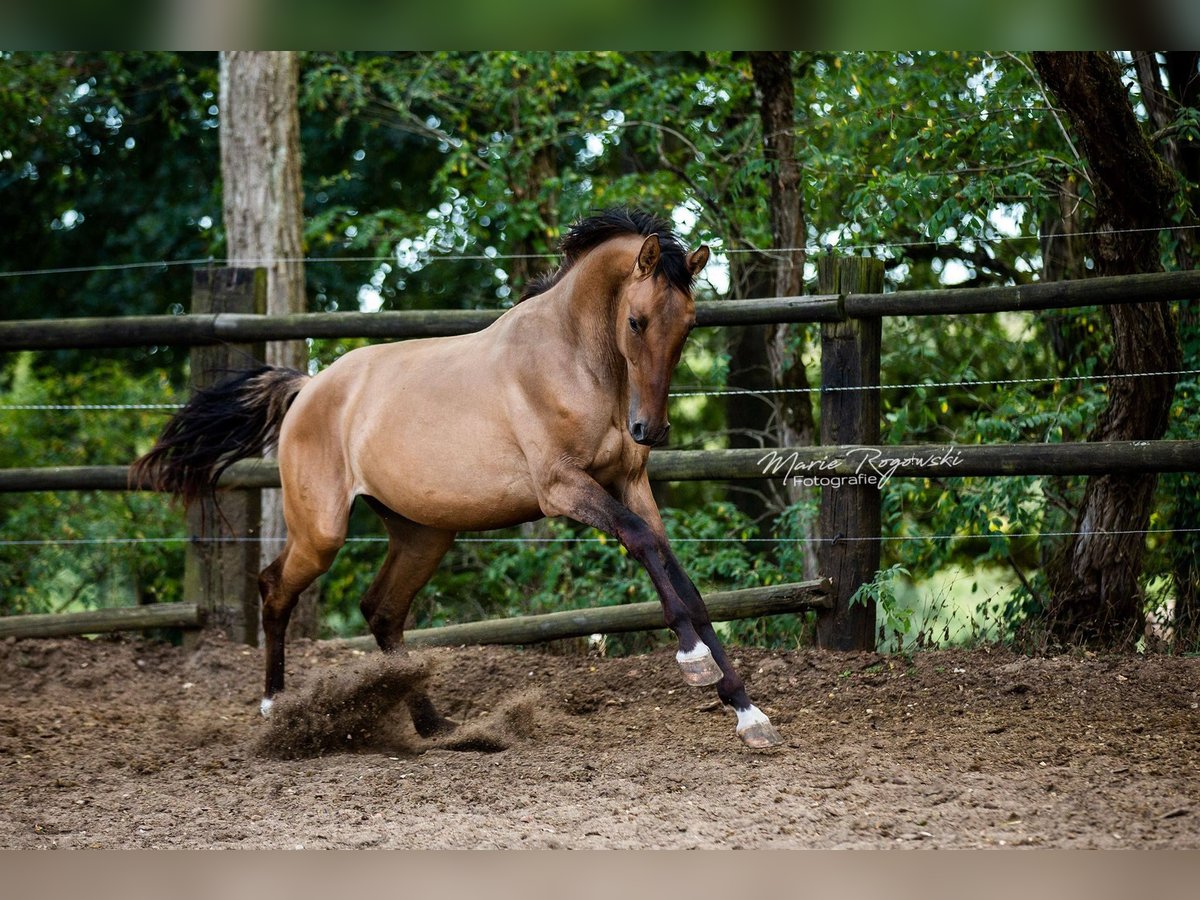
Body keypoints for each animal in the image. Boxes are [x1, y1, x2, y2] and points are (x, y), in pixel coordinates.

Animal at [136, 207, 782, 748]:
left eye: (688, 326)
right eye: (636, 320)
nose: (650, 429)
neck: (571, 360)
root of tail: (306, 387)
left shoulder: (631, 485)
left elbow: (687, 583)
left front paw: (748, 713)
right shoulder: (562, 490)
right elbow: (644, 544)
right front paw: (693, 661)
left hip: (423, 533)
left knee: (381, 611)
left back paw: (432, 725)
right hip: (321, 533)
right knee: (275, 588)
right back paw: (276, 709)